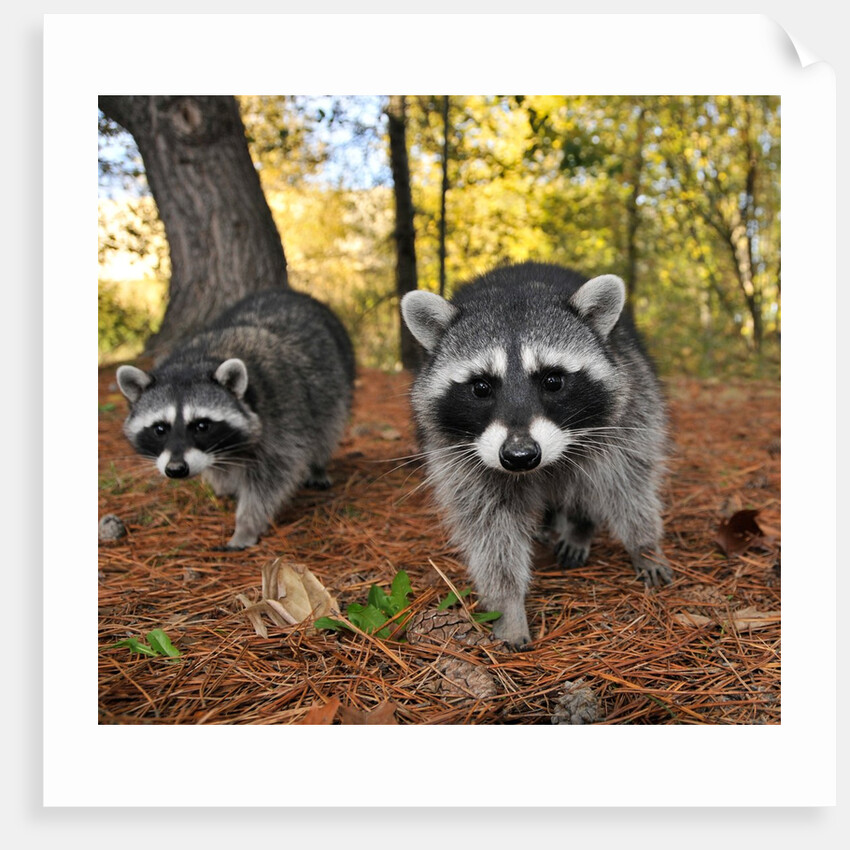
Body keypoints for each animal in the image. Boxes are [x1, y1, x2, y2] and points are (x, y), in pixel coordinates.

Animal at [116, 288, 355, 550]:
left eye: (202, 426)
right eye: (160, 429)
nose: (176, 469)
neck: (198, 361)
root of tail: (290, 292)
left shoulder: (282, 412)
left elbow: (272, 476)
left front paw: (247, 524)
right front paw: (222, 483)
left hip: (335, 378)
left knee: (328, 425)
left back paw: (318, 465)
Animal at [401, 261, 672, 650]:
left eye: (553, 381)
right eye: (481, 387)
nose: (520, 455)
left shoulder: (628, 413)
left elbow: (626, 481)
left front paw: (645, 544)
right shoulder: (460, 455)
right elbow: (490, 528)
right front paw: (508, 605)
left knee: (590, 482)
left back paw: (579, 526)